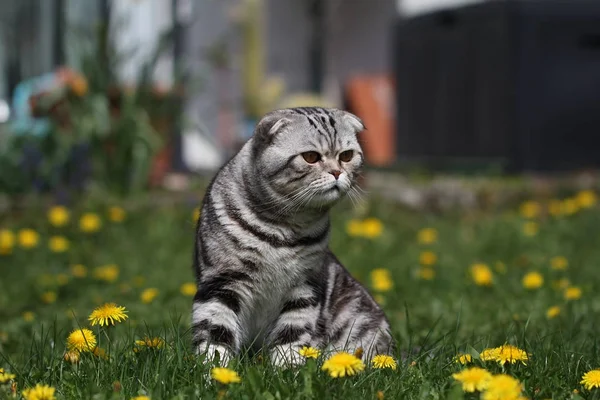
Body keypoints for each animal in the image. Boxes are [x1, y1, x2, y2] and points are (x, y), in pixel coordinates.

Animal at [192, 105, 394, 366]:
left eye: (347, 156)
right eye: (311, 157)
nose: (337, 172)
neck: (282, 229)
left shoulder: (304, 287)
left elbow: (292, 335)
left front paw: (286, 369)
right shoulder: (222, 282)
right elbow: (215, 334)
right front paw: (213, 371)